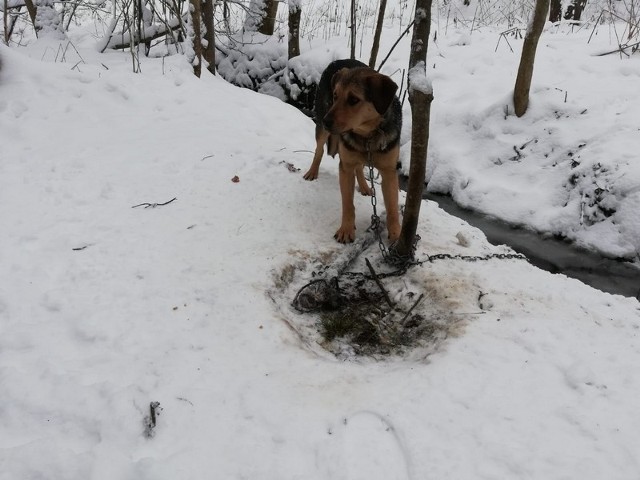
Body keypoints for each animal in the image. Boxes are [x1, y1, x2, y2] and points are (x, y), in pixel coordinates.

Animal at [304, 59, 402, 244]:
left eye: (354, 99)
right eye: (335, 96)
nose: (326, 121)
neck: (366, 134)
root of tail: (338, 61)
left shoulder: (389, 171)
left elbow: (392, 207)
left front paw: (396, 235)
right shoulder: (346, 167)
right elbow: (348, 204)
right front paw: (346, 230)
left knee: (359, 166)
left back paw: (364, 187)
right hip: (322, 128)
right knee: (319, 151)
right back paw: (312, 172)